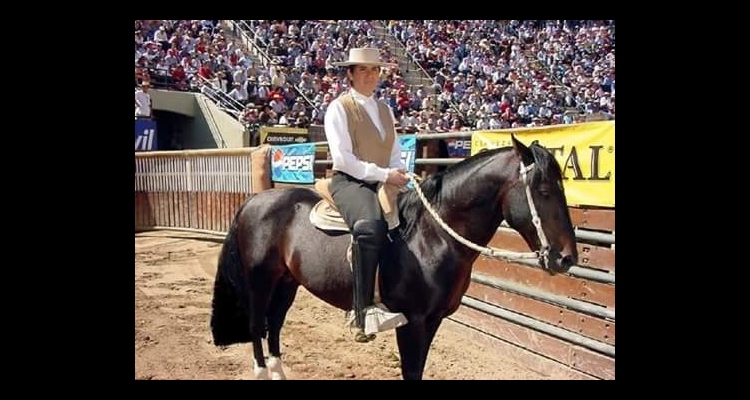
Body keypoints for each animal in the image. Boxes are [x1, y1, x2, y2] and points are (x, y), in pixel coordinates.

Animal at [212, 135, 580, 382]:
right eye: (544, 191)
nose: (566, 258)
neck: (432, 236)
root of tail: (255, 201)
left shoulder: (433, 321)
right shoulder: (413, 321)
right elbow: (411, 370)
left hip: (287, 281)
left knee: (274, 325)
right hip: (260, 280)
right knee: (257, 324)